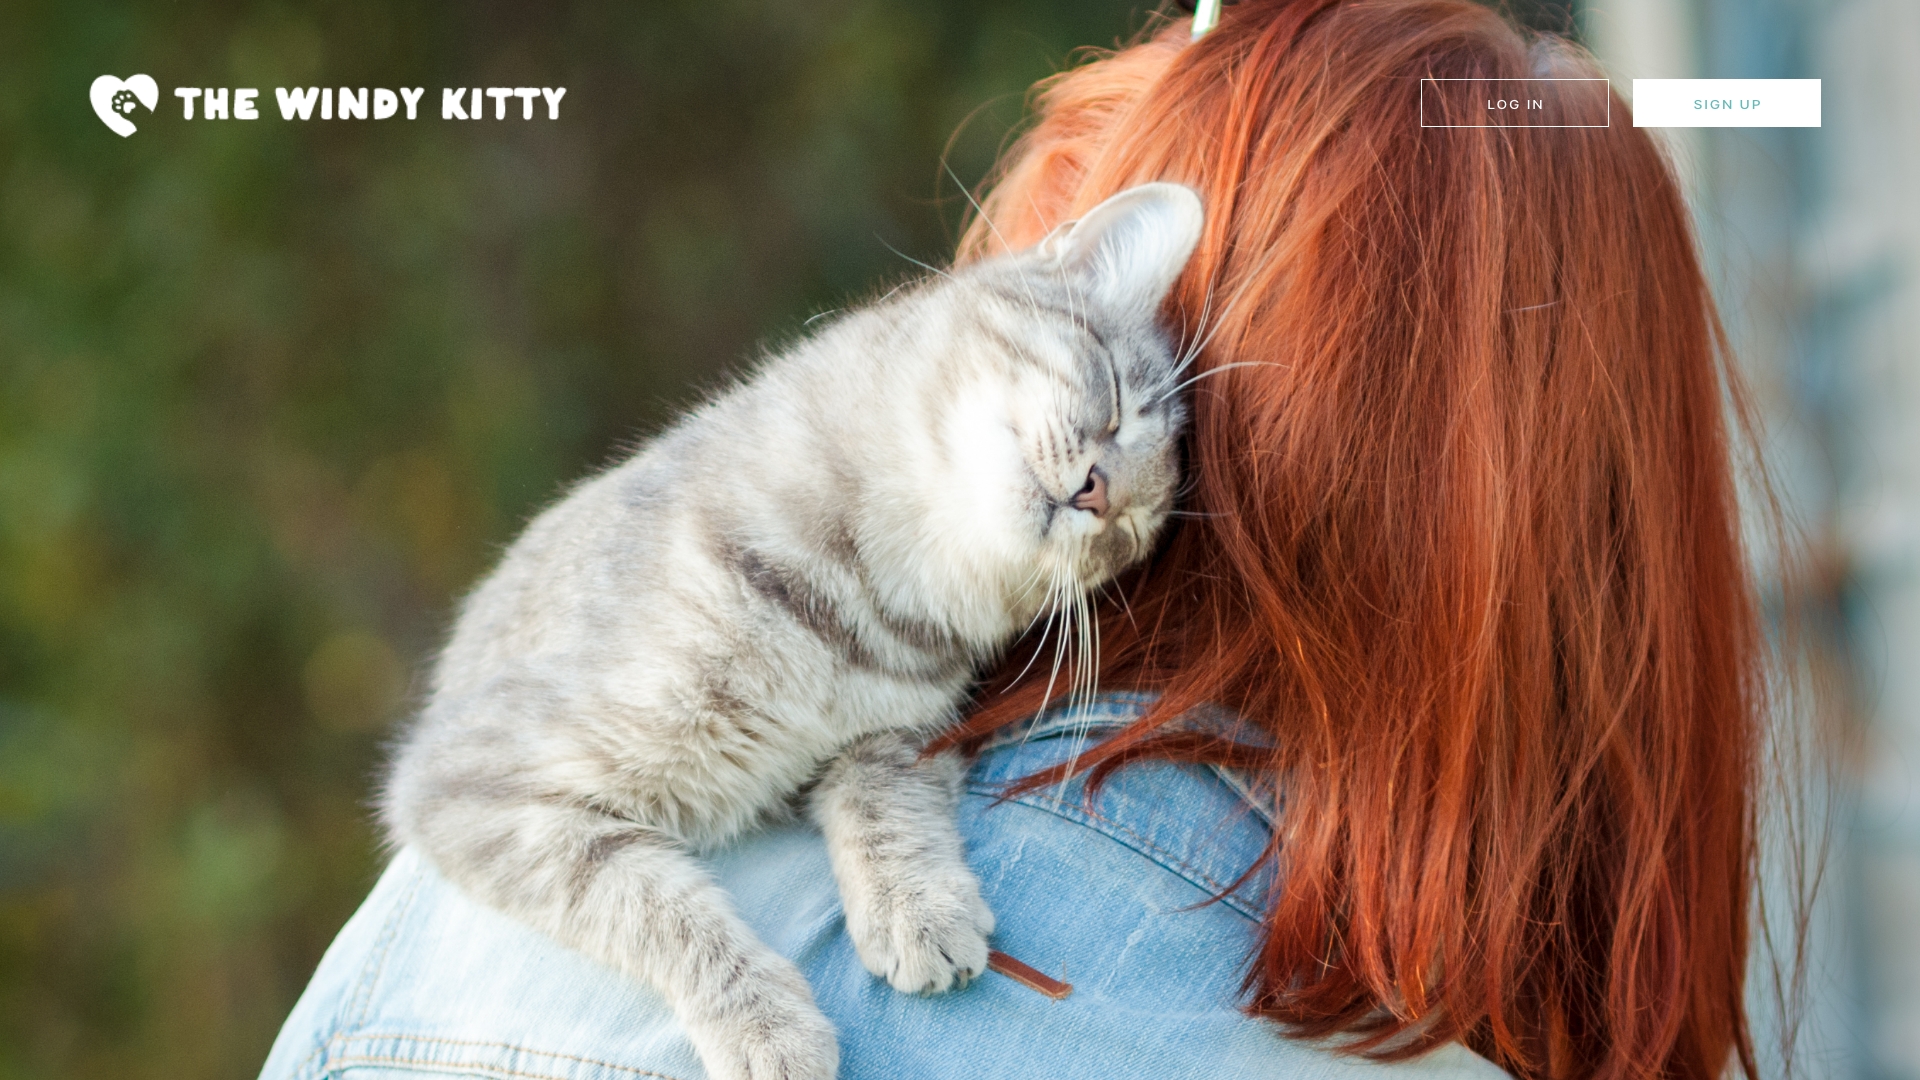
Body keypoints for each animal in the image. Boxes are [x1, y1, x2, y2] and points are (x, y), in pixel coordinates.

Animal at [381, 182, 1205, 1080]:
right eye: (1117, 399)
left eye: (1134, 532)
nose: (1100, 494)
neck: (855, 598)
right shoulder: (472, 785)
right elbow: (654, 904)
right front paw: (763, 1025)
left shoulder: (912, 727)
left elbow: (883, 786)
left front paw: (916, 904)